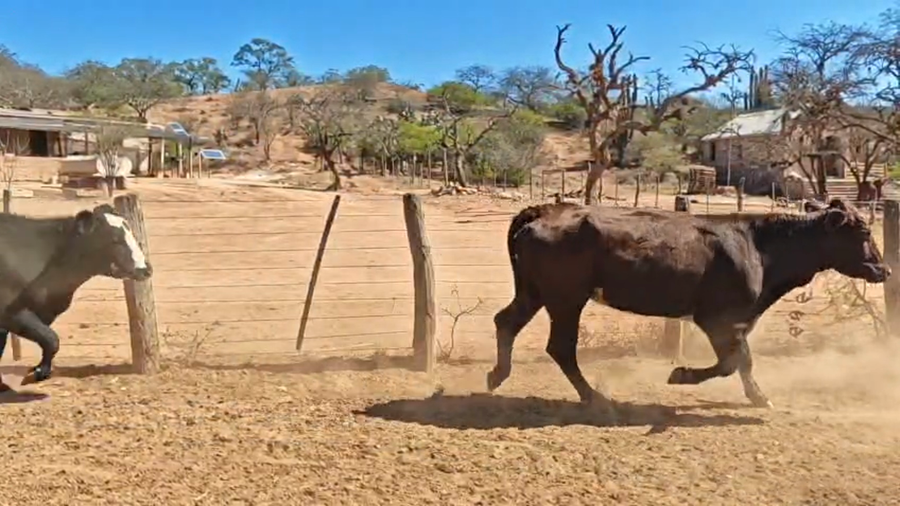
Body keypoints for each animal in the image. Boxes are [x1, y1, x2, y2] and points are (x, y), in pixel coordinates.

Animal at [487, 198, 890, 409]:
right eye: (864, 231)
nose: (884, 269)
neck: (758, 246)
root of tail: (545, 211)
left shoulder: (738, 321)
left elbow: (742, 360)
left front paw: (757, 396)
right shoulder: (716, 318)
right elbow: (732, 362)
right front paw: (681, 375)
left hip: (535, 292)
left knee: (506, 321)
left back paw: (497, 375)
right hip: (567, 299)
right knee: (560, 347)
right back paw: (595, 397)